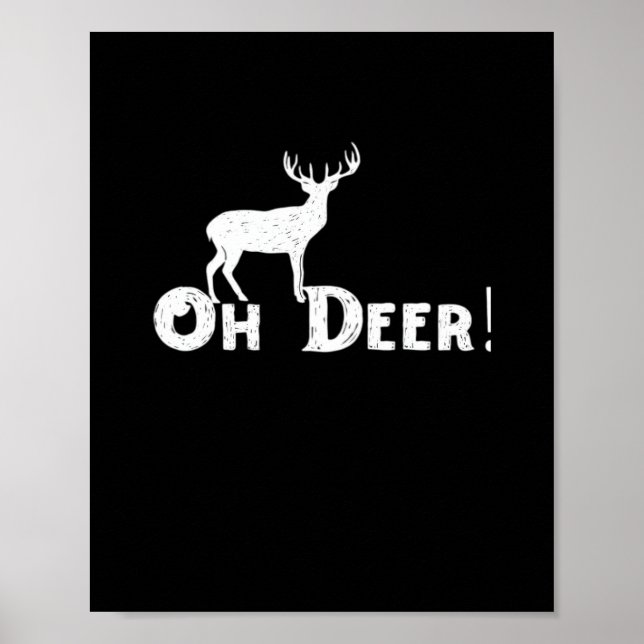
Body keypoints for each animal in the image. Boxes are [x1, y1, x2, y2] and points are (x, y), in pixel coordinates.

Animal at [205, 143, 361, 303]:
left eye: (326, 190)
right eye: (312, 191)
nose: (318, 202)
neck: (307, 224)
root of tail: (209, 227)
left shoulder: (302, 248)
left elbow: (302, 271)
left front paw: (302, 295)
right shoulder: (294, 247)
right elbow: (297, 272)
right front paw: (300, 298)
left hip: (221, 247)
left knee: (210, 266)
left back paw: (215, 299)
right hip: (232, 246)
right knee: (226, 269)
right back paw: (242, 296)